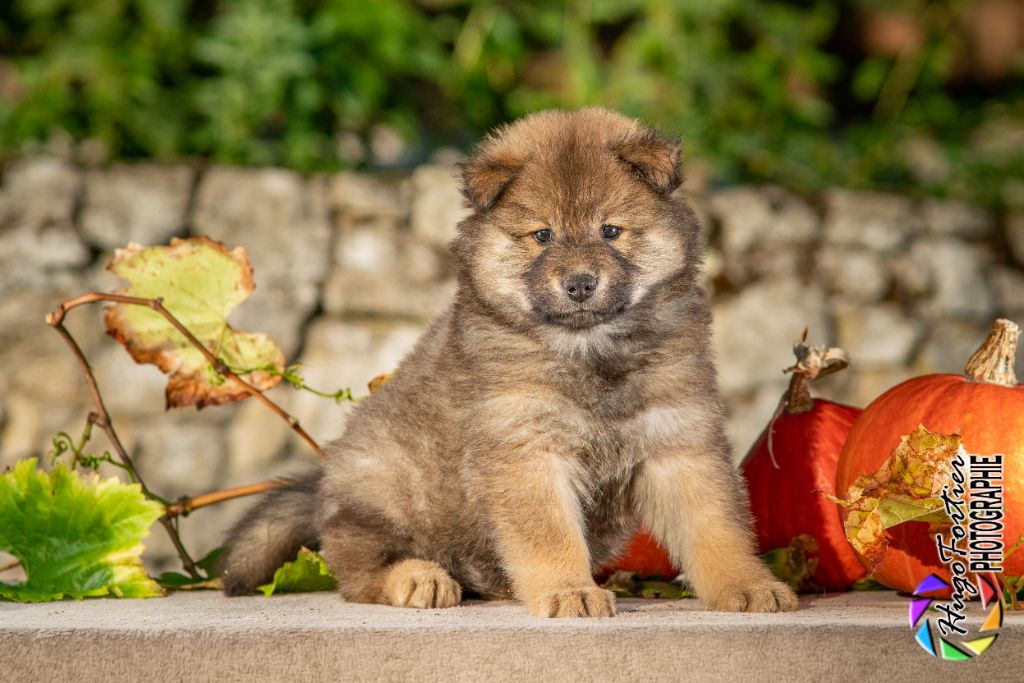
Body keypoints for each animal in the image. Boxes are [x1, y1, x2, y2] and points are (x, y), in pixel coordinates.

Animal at [222, 108, 798, 618]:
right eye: (542, 235)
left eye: (610, 231)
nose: (580, 283)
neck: (590, 351)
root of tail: (323, 487)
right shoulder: (526, 450)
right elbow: (551, 536)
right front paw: (571, 592)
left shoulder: (678, 442)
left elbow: (716, 529)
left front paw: (749, 586)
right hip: (380, 488)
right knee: (363, 572)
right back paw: (420, 579)